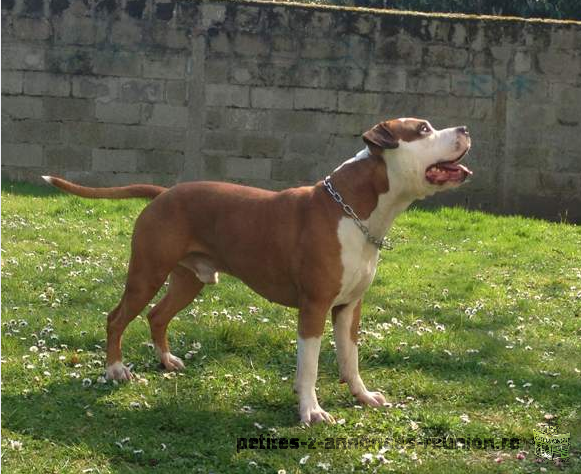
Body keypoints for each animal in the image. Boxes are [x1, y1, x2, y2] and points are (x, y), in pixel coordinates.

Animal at [44, 116, 472, 424]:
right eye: (423, 129)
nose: (466, 129)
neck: (354, 212)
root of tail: (163, 193)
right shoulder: (314, 308)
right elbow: (310, 366)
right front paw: (311, 411)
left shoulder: (349, 308)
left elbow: (350, 360)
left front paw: (363, 396)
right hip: (146, 275)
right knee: (117, 318)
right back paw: (116, 370)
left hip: (188, 281)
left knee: (157, 316)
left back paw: (167, 362)